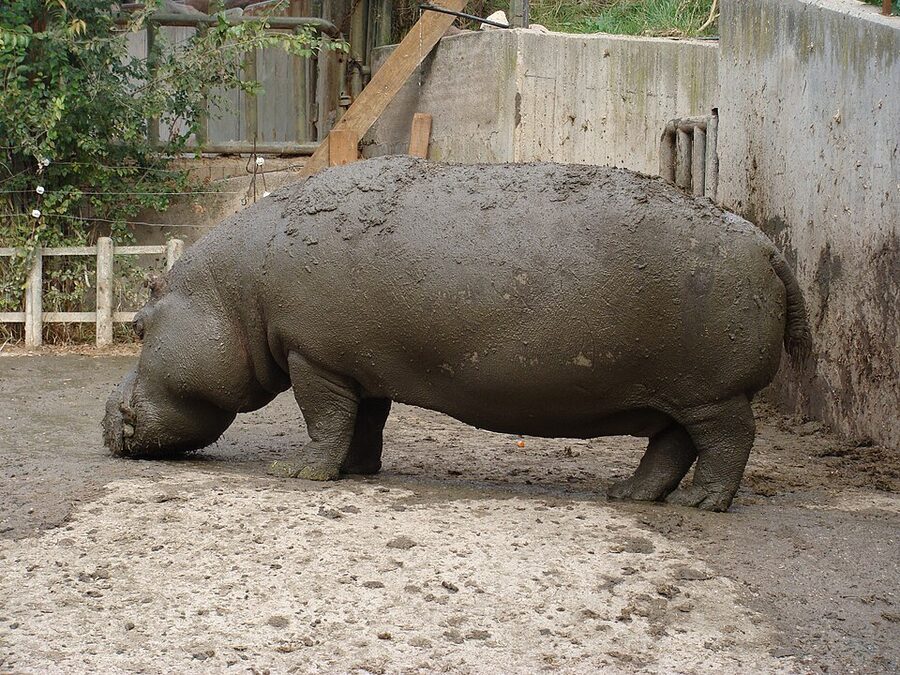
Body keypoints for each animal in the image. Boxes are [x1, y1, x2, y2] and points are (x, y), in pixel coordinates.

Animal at [103, 156, 811, 511]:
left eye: (137, 324)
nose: (106, 415)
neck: (230, 294)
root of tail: (767, 245)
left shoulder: (314, 359)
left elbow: (324, 420)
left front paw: (297, 474)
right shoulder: (358, 365)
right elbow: (365, 421)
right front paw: (358, 472)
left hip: (711, 392)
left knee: (728, 442)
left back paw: (705, 505)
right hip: (674, 392)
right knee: (670, 447)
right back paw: (627, 495)